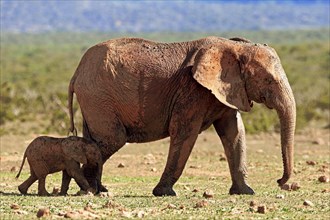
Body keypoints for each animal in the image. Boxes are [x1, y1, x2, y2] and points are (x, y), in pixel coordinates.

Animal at [67, 36, 296, 196]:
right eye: (268, 80)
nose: (280, 182)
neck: (235, 47)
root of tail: (76, 72)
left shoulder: (226, 92)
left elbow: (235, 133)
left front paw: (245, 192)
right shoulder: (192, 90)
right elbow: (185, 132)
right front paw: (164, 193)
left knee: (96, 140)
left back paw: (98, 189)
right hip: (98, 96)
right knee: (112, 139)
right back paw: (90, 190)